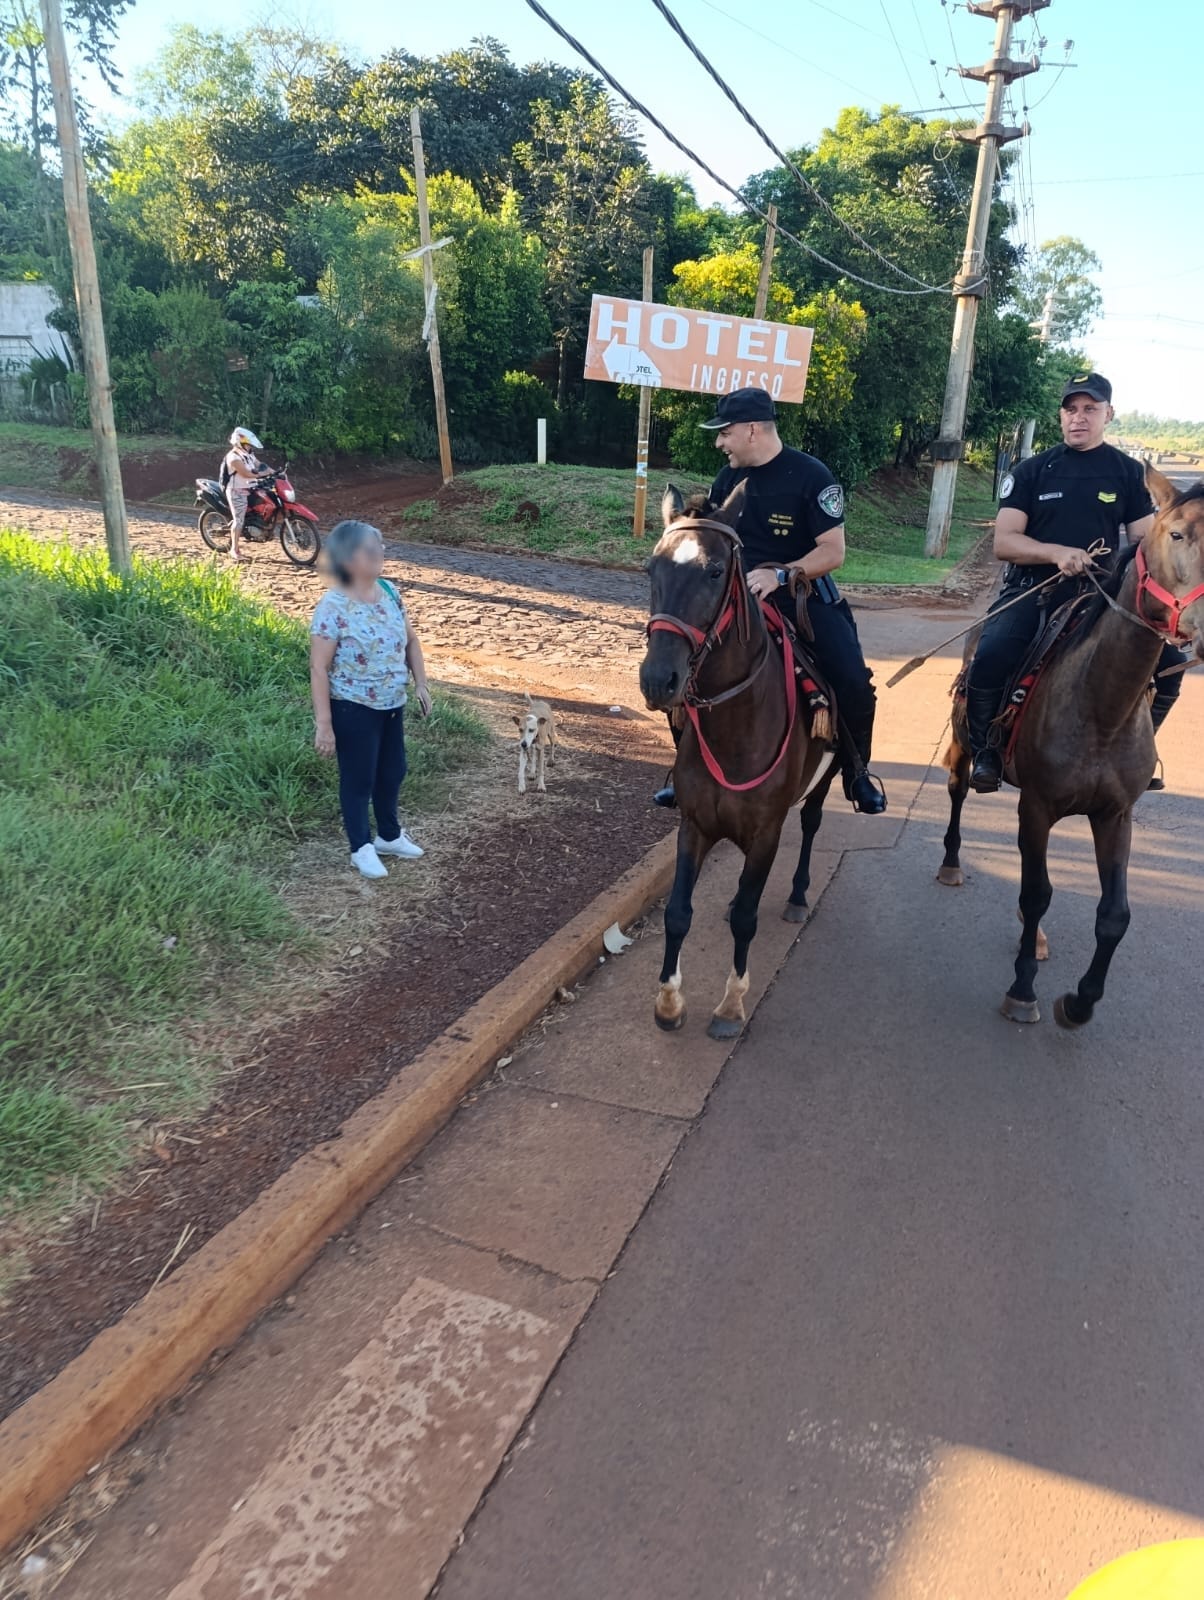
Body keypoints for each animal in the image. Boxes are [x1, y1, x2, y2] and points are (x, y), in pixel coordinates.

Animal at [640, 483, 838, 1036]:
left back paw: (797, 895)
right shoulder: (695, 825)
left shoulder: (766, 832)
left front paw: (731, 1003)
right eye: (651, 568)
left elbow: (749, 918)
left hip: (826, 781)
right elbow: (678, 912)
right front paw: (668, 1002)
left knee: (810, 824)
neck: (736, 722)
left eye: (713, 571)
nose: (658, 679)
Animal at [941, 467, 1204, 1024]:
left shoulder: (1115, 815)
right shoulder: (1037, 806)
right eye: (1176, 534)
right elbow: (1039, 892)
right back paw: (951, 863)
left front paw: (1081, 1003)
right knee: (957, 791)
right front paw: (1023, 989)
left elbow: (1114, 915)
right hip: (965, 746)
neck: (1102, 709)